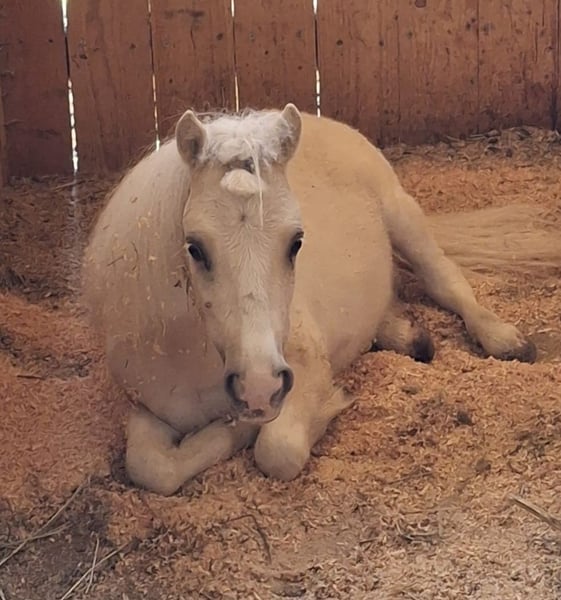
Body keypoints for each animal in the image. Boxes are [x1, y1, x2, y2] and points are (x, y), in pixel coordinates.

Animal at [82, 104, 561, 496]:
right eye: (195, 248)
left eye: (296, 242)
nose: (259, 387)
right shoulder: (149, 408)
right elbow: (150, 467)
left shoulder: (304, 375)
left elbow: (277, 450)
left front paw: (249, 429)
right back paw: (409, 336)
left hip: (404, 217)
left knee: (447, 280)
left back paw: (505, 339)